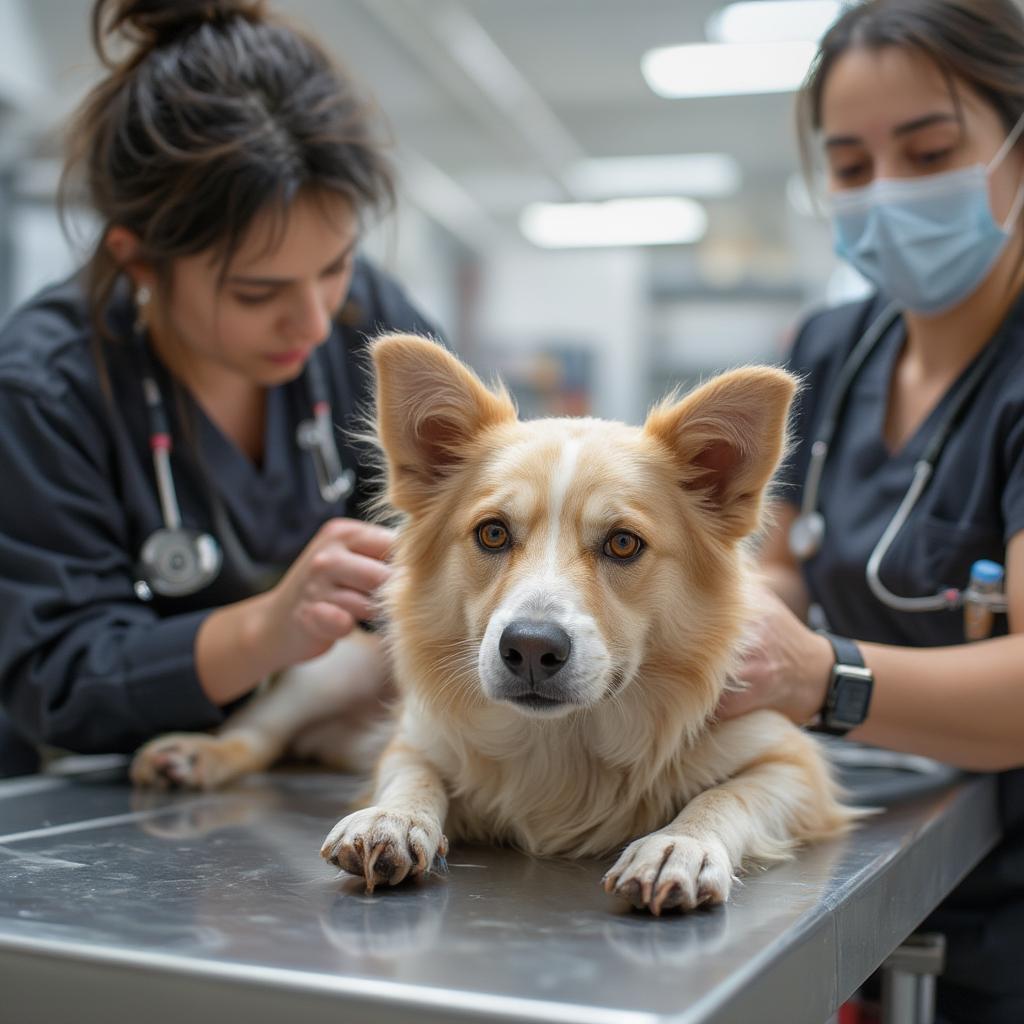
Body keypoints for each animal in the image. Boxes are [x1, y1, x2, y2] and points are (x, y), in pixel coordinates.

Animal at [136, 333, 856, 913]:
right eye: (492, 533)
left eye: (623, 544)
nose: (531, 649)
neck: (565, 742)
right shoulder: (413, 737)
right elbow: (414, 774)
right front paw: (392, 820)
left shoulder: (795, 765)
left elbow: (723, 797)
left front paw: (677, 845)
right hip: (334, 663)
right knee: (257, 732)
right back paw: (195, 754)